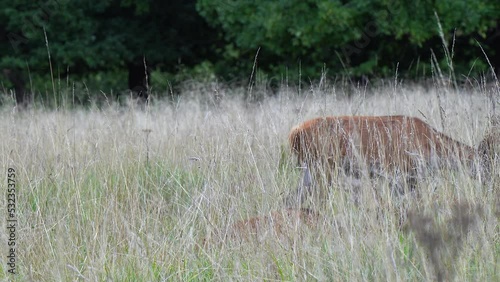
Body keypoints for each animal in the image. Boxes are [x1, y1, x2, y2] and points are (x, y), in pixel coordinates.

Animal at [290, 114, 496, 198]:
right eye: (490, 162)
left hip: (310, 169)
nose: (492, 183)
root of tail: (295, 133)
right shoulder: (401, 173)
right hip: (325, 167)